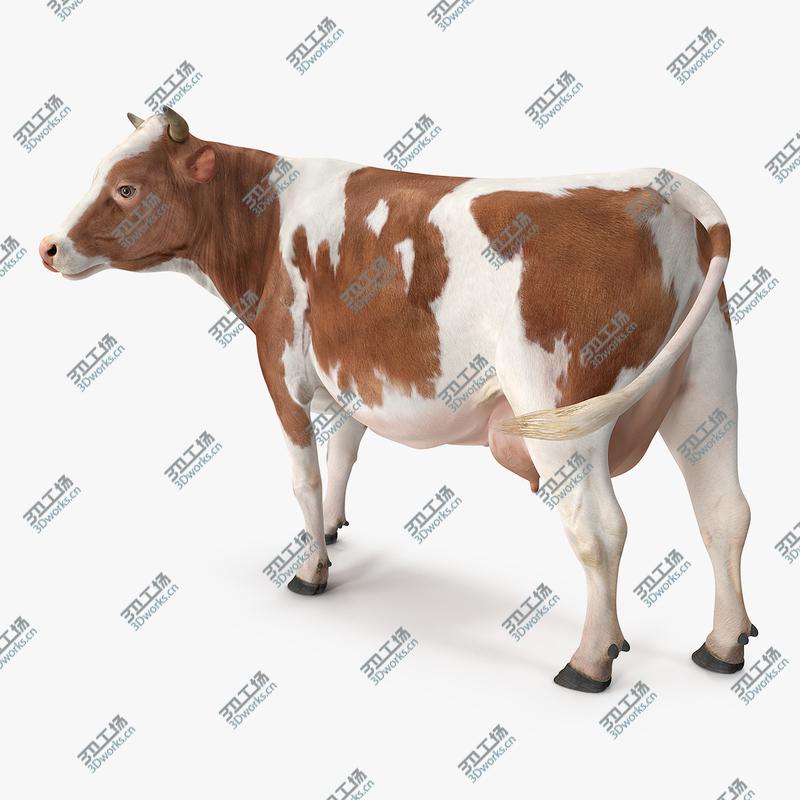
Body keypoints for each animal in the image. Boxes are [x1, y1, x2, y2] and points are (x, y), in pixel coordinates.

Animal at [39, 108, 755, 693]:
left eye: (126, 188)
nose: (48, 247)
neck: (264, 220)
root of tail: (654, 185)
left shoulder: (282, 367)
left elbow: (302, 476)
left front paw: (311, 570)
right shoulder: (354, 377)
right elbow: (343, 452)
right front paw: (332, 528)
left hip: (561, 413)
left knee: (600, 530)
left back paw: (589, 661)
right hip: (707, 387)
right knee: (724, 511)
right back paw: (722, 646)